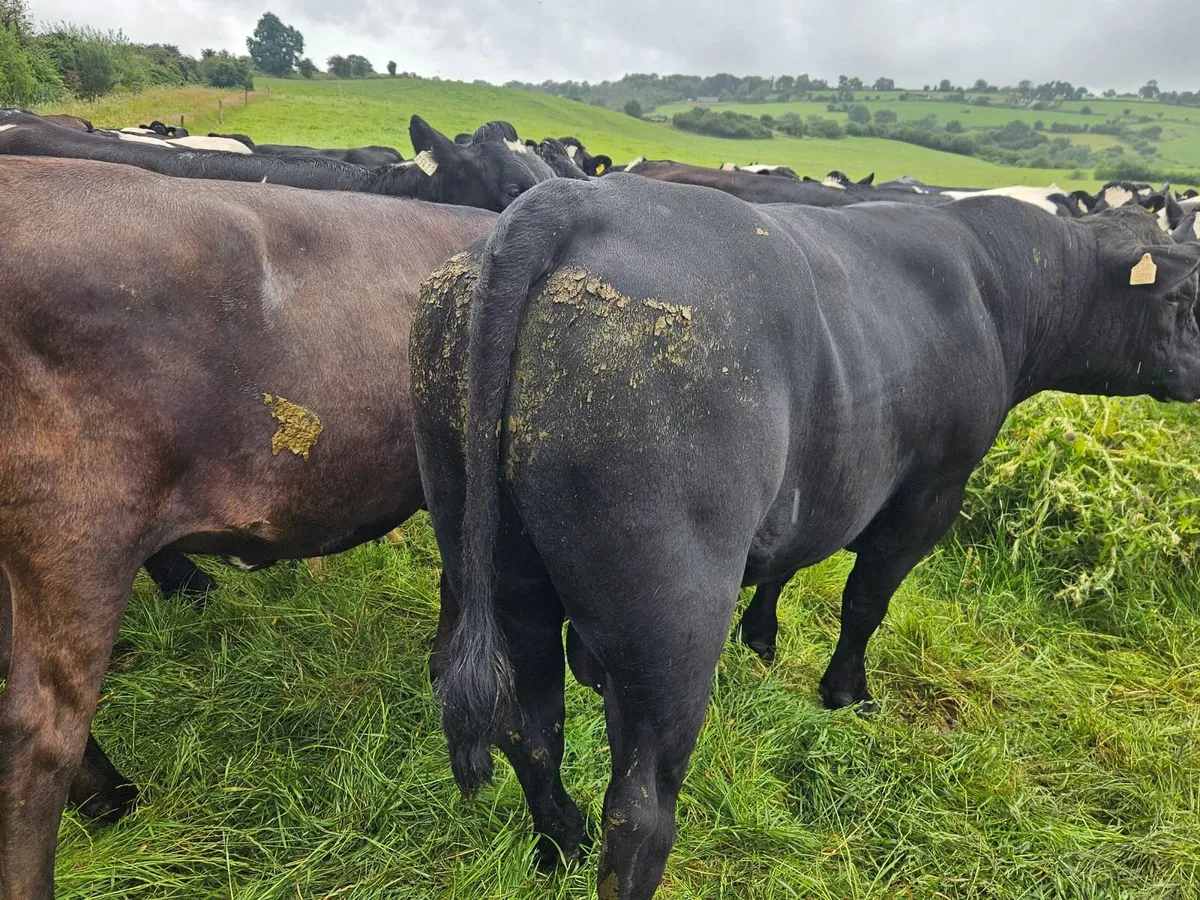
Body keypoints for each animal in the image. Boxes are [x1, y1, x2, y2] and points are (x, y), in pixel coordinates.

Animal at [411, 174, 1200, 900]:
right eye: (1181, 298)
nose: (1199, 374)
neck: (996, 284)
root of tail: (567, 199)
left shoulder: (818, 488)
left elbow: (787, 565)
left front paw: (762, 639)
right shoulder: (929, 495)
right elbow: (865, 602)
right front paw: (847, 691)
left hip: (497, 563)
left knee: (530, 729)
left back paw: (561, 845)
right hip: (671, 610)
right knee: (638, 811)